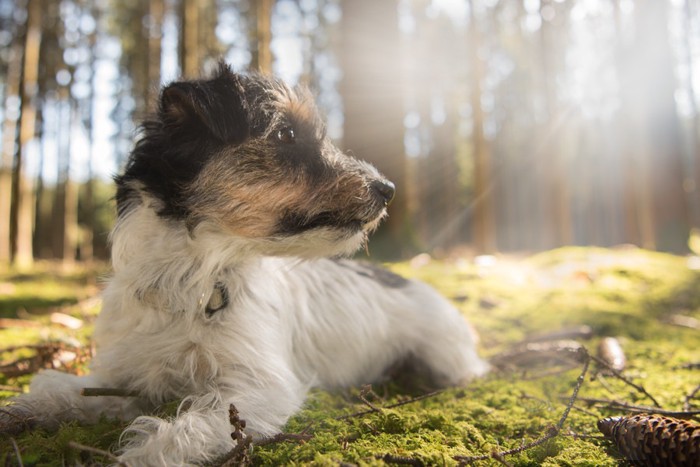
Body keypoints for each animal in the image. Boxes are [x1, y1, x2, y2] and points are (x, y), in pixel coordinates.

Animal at [1, 65, 486, 464]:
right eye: (285, 134)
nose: (388, 189)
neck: (193, 278)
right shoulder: (124, 376)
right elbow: (66, 389)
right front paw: (24, 408)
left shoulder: (258, 389)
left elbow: (185, 429)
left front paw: (141, 455)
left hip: (444, 356)